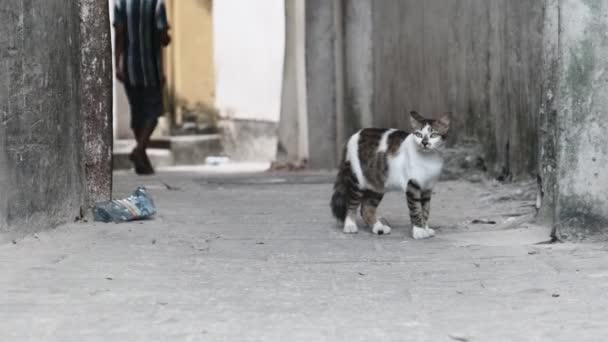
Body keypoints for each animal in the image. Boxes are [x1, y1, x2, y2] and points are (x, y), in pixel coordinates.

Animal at [330, 111, 448, 239]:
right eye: (418, 134)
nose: (424, 143)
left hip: (377, 183)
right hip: (357, 179)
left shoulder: (427, 188)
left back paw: (378, 227)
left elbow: (425, 210)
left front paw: (425, 228)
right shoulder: (412, 186)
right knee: (351, 203)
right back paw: (350, 225)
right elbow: (416, 209)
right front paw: (418, 231)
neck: (429, 158)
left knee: (367, 207)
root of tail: (355, 134)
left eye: (434, 135)